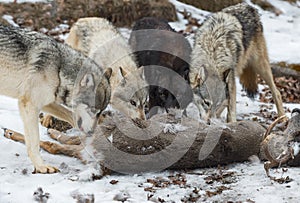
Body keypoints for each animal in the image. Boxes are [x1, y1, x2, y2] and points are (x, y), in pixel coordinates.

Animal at [0, 23, 112, 173]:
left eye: (100, 112)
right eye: (92, 110)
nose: (91, 132)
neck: (59, 69)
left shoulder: (46, 101)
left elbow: (69, 115)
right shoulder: (29, 104)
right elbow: (34, 142)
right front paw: (41, 166)